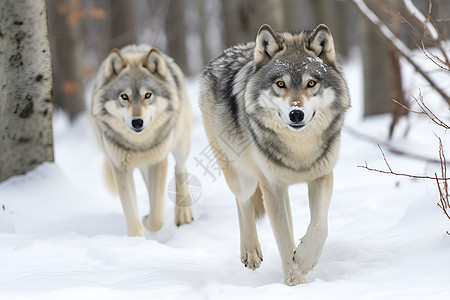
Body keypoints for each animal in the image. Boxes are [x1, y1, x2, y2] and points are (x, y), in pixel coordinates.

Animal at [91, 44, 193, 237]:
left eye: (148, 95)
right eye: (124, 96)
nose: (137, 122)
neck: (139, 145)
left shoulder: (158, 162)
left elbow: (157, 219)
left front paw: (147, 220)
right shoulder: (120, 169)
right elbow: (132, 213)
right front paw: (136, 239)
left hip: (180, 144)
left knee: (180, 168)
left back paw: (184, 215)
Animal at [200, 24, 352, 284]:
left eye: (311, 83)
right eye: (280, 84)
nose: (296, 114)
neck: (299, 149)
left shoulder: (322, 176)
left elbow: (320, 226)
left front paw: (304, 259)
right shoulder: (271, 186)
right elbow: (283, 239)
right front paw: (296, 282)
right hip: (245, 178)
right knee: (242, 201)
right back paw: (250, 252)